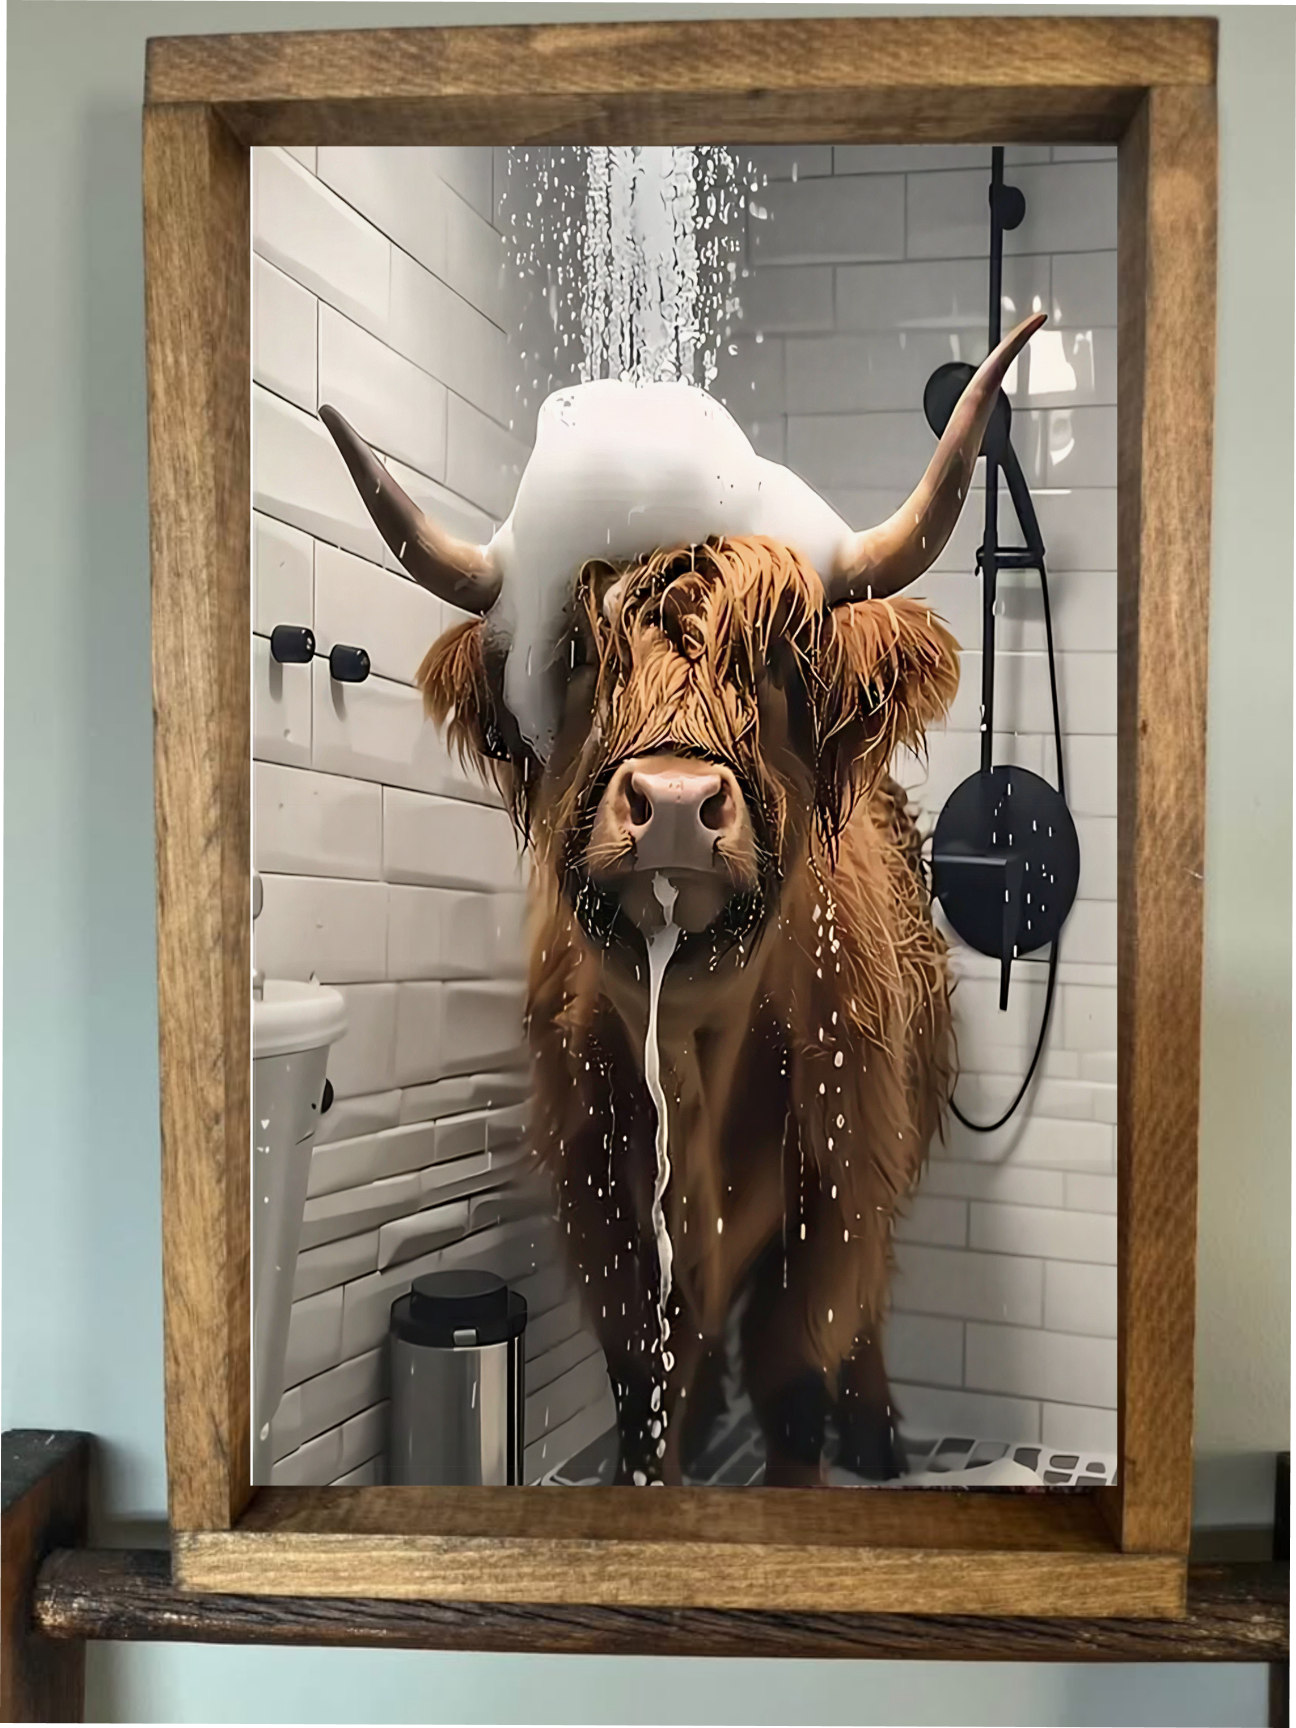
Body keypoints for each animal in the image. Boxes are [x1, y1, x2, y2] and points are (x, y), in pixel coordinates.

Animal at [321, 313, 1044, 1487]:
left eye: (783, 659)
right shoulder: (600, 1209)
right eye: (578, 652)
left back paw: (880, 1435)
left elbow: (795, 1381)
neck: (695, 1058)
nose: (668, 803)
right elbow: (642, 1384)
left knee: (869, 1312)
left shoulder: (839, 1197)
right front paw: (669, 1456)